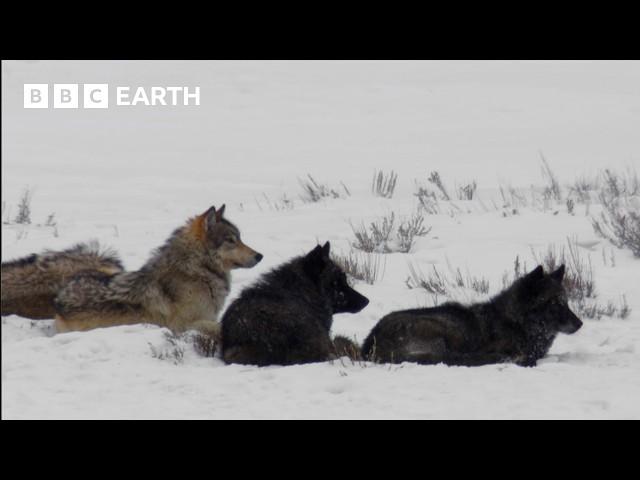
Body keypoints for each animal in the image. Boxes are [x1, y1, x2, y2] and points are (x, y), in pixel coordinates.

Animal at [362, 264, 584, 366]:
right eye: (554, 303)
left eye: (566, 302)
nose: (580, 324)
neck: (516, 322)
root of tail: (370, 342)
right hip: (446, 329)